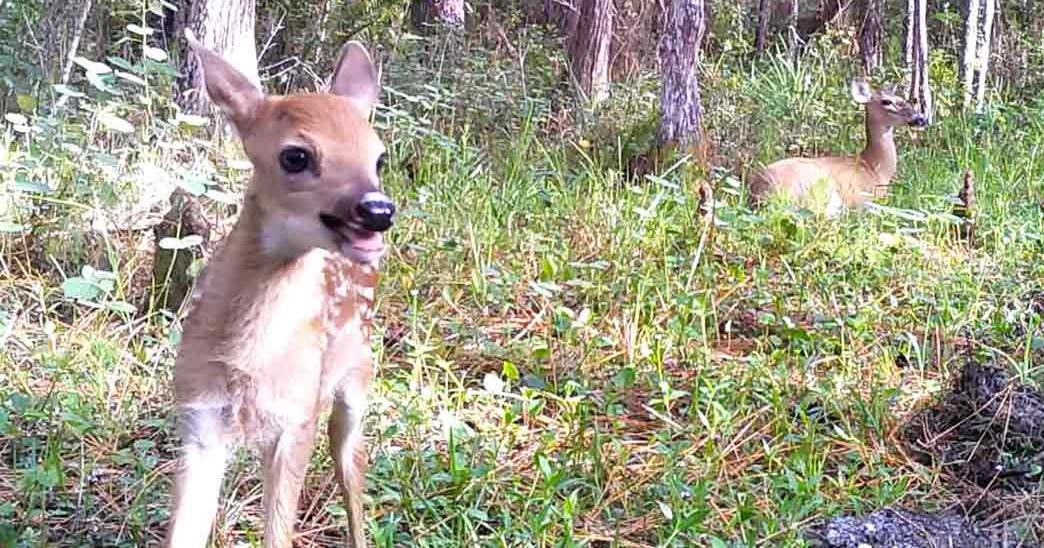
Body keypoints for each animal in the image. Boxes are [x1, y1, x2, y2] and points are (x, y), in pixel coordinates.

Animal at [164, 30, 395, 548]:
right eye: (296, 155)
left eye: (379, 156)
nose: (378, 210)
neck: (249, 360)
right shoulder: (199, 417)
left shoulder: (296, 419)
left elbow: (279, 533)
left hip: (357, 379)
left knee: (353, 469)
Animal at [747, 79, 929, 217]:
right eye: (886, 101)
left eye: (901, 98)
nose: (921, 118)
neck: (875, 170)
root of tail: (759, 192)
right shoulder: (863, 196)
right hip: (818, 191)